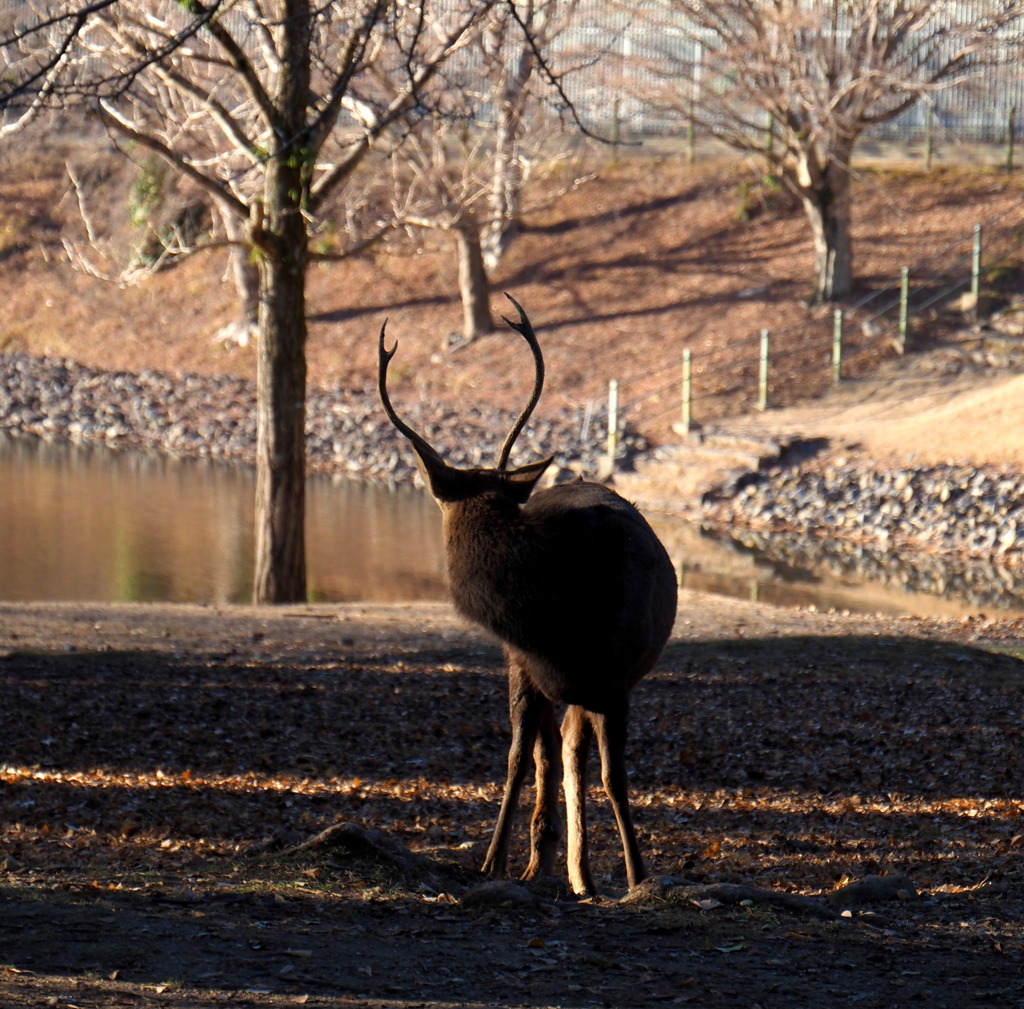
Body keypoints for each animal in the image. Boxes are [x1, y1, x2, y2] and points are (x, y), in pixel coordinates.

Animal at [378, 295, 679, 893]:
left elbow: (614, 777)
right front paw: (491, 860)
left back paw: (581, 874)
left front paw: (637, 875)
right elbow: (516, 759)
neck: (555, 614)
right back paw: (551, 863)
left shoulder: (615, 679)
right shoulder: (521, 664)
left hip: (599, 684)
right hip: (549, 683)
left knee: (572, 749)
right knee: (552, 750)